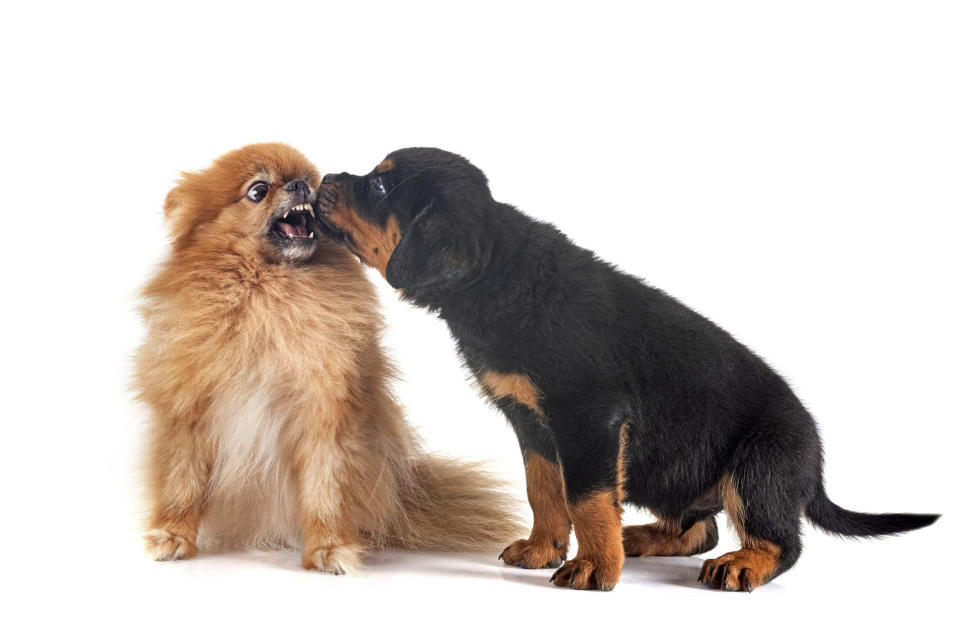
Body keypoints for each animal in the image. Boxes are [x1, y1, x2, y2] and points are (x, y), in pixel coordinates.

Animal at [135, 141, 520, 568]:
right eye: (258, 190)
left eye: (308, 178)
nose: (302, 185)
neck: (269, 294)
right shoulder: (191, 412)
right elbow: (181, 483)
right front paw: (172, 535)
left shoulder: (325, 415)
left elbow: (326, 490)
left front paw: (330, 547)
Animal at [314, 149, 936, 592]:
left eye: (379, 187)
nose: (324, 179)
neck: (499, 277)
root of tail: (816, 465)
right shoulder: (532, 422)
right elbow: (546, 489)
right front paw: (543, 549)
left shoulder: (589, 415)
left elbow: (587, 497)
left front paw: (593, 568)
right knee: (698, 528)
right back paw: (638, 537)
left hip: (760, 465)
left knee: (780, 540)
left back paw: (741, 564)